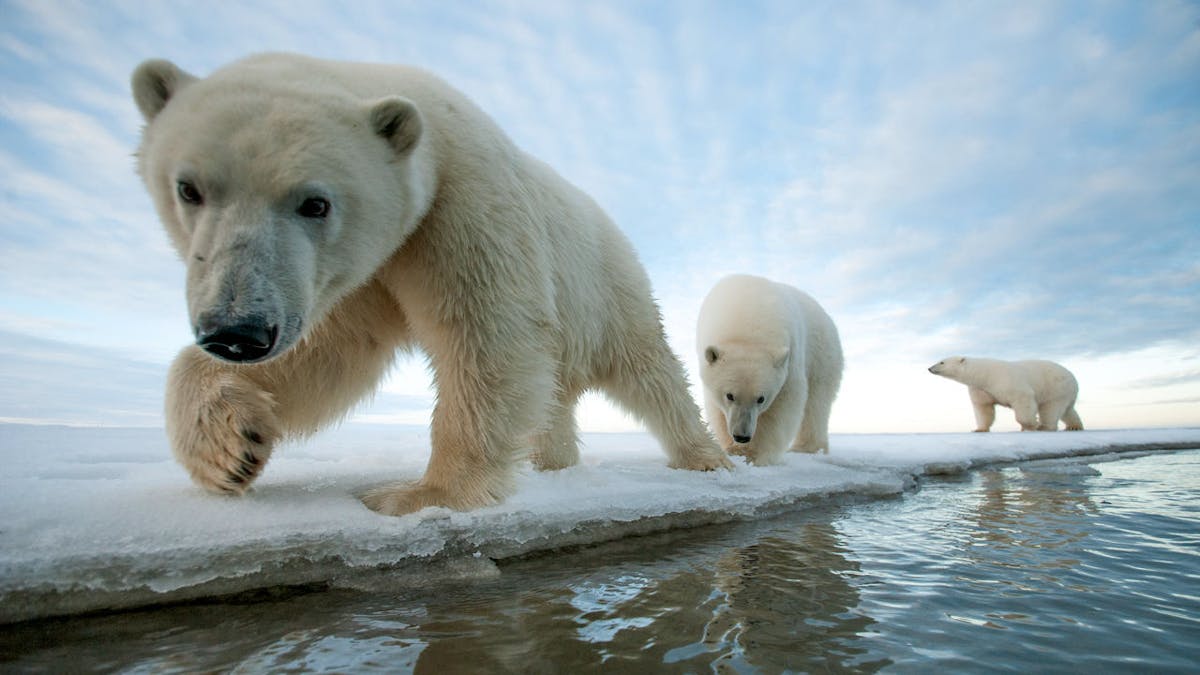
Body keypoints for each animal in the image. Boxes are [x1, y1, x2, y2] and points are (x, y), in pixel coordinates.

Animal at [131, 53, 729, 514]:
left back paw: (704, 456)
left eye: (316, 203)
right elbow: (333, 354)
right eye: (188, 189)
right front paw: (230, 449)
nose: (238, 330)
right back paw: (548, 461)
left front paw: (420, 495)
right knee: (555, 389)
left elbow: (488, 338)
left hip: (604, 285)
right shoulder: (365, 269)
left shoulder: (462, 203)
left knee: (648, 370)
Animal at [696, 273, 844, 461]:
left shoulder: (790, 355)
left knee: (817, 401)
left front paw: (753, 453)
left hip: (822, 354)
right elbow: (717, 408)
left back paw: (807, 448)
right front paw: (734, 449)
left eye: (761, 398)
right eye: (729, 395)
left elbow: (783, 404)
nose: (742, 436)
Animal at [926, 355, 1089, 427]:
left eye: (942, 362)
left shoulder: (1008, 381)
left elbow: (1024, 400)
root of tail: (1073, 378)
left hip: (1056, 388)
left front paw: (1033, 424)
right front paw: (979, 429)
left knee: (1051, 409)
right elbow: (984, 408)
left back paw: (1044, 426)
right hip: (1065, 393)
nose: (930, 368)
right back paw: (1075, 427)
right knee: (1067, 410)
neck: (984, 374)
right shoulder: (981, 389)